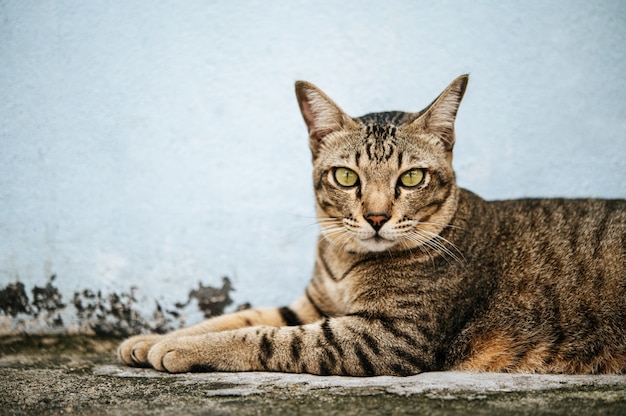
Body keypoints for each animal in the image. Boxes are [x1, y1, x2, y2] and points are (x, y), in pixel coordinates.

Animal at [118, 75, 624, 376]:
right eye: (346, 177)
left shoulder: (389, 336)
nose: (377, 217)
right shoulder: (312, 305)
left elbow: (267, 338)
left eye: (412, 178)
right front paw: (153, 338)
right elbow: (239, 316)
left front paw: (183, 350)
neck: (346, 260)